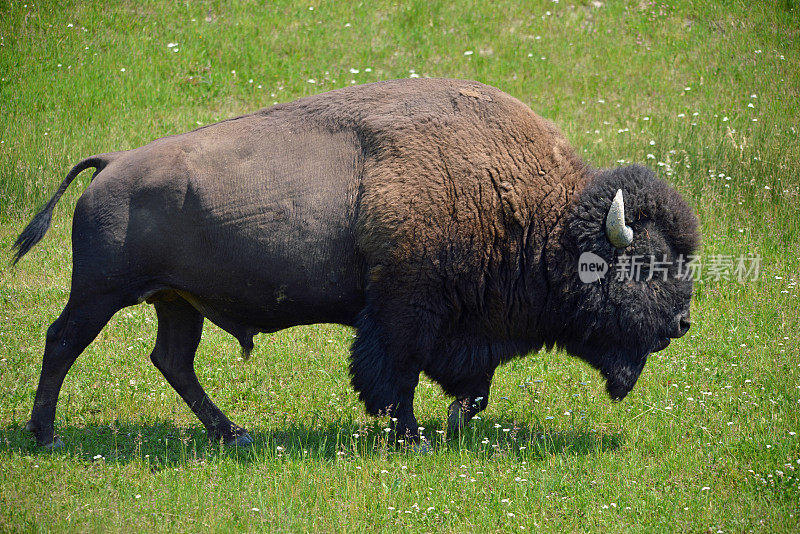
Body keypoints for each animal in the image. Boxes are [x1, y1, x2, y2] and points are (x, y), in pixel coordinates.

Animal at [14, 77, 700, 450]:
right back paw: (44, 435)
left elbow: (471, 388)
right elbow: (394, 378)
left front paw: (453, 425)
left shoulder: (462, 329)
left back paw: (233, 433)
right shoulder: (403, 310)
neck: (539, 212)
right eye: (645, 264)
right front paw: (415, 440)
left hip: (177, 303)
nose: (681, 324)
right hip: (101, 293)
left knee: (171, 361)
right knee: (63, 342)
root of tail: (110, 164)